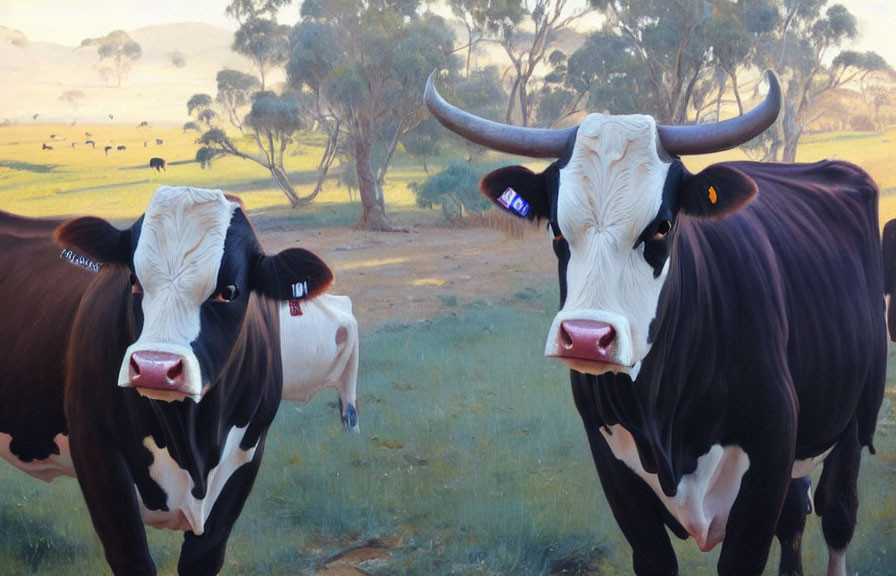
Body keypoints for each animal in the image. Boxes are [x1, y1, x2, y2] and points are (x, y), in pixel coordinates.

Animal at [0, 187, 336, 572]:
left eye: (229, 291)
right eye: (133, 281)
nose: (154, 367)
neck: (193, 441)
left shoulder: (246, 458)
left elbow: (202, 557)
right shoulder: (96, 448)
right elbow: (131, 556)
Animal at [428, 73, 888, 576]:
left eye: (663, 227)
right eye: (555, 228)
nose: (586, 339)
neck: (664, 414)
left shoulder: (770, 454)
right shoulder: (613, 464)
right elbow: (654, 556)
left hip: (854, 420)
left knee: (838, 515)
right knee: (794, 522)